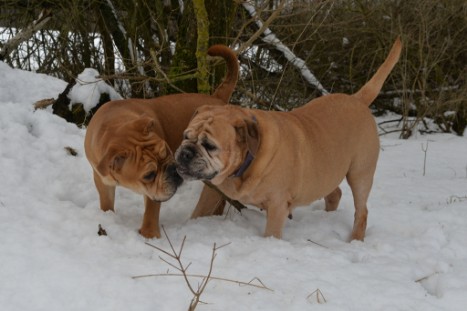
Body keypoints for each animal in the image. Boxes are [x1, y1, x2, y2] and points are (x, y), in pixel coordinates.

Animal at [84, 44, 239, 239]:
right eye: (149, 174)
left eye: (167, 150)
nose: (173, 170)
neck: (113, 127)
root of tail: (218, 98)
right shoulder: (102, 179)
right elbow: (106, 202)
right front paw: (107, 217)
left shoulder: (153, 193)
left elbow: (151, 211)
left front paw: (149, 235)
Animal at [176, 38, 402, 241]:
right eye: (185, 136)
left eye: (210, 146)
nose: (185, 153)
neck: (247, 162)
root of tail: (358, 99)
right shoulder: (212, 190)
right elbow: (200, 211)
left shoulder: (277, 205)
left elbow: (272, 234)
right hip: (327, 171)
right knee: (334, 193)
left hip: (360, 173)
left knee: (362, 211)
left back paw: (355, 239)